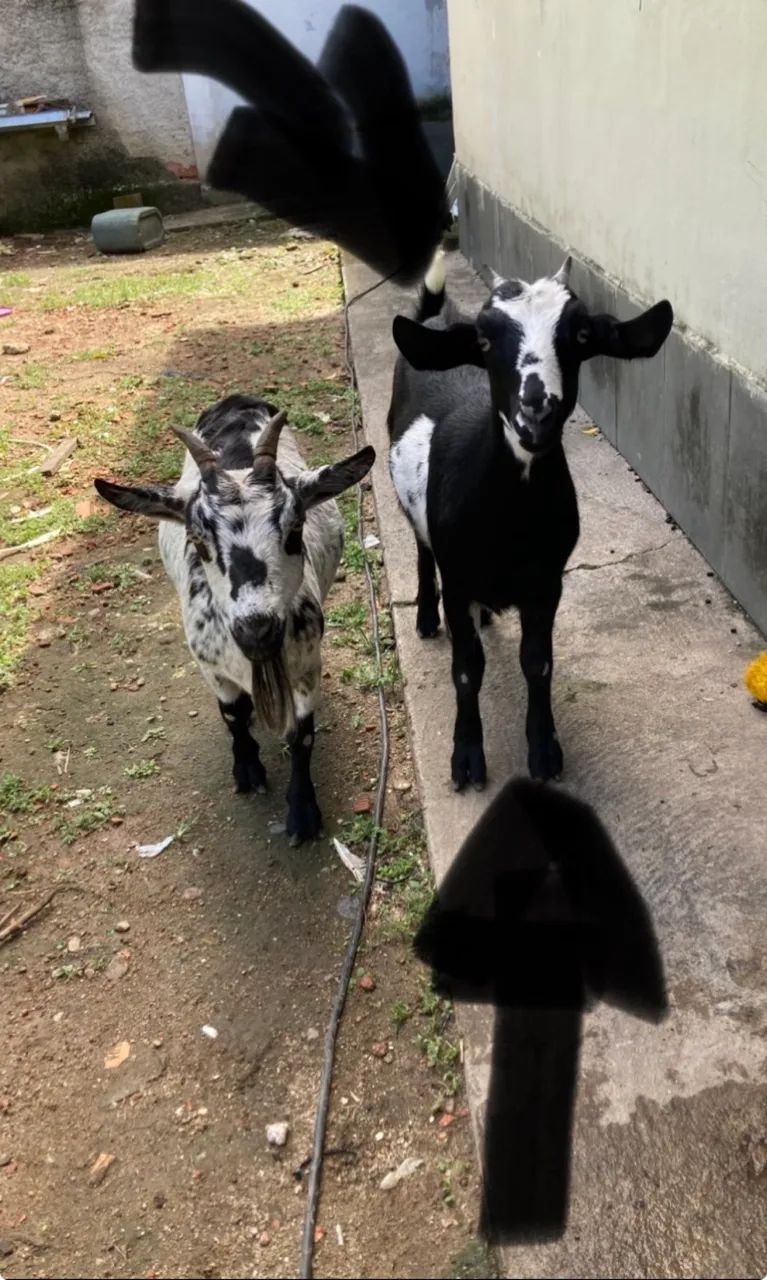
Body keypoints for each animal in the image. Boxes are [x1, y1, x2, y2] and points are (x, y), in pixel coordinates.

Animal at [95, 393, 375, 845]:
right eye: (197, 540)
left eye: (294, 530)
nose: (257, 630)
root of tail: (237, 400)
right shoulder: (210, 665)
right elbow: (232, 714)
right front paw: (247, 770)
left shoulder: (307, 665)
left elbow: (302, 734)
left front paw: (302, 812)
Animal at [387, 251, 673, 791]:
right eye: (484, 340)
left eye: (580, 334)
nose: (536, 413)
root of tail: (435, 320)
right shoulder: (459, 578)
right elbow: (466, 669)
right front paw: (466, 758)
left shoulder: (547, 582)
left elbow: (537, 664)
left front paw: (544, 752)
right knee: (421, 548)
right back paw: (426, 618)